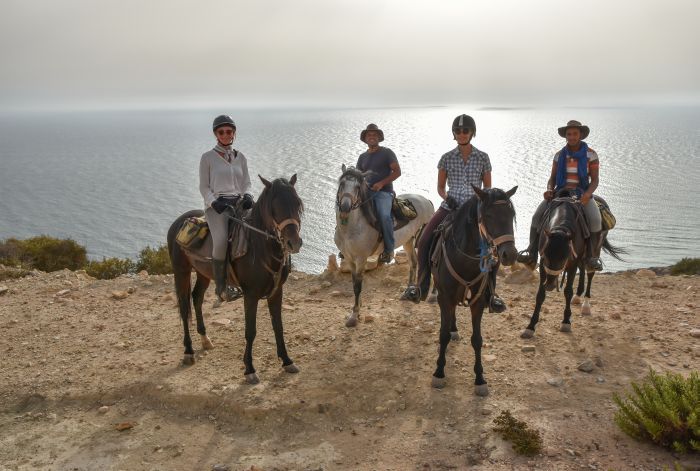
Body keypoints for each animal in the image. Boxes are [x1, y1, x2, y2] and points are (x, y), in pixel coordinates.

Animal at [169, 175, 304, 386]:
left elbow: (278, 326)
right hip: (180, 272)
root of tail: (178, 222)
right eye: (275, 206)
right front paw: (249, 370)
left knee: (197, 298)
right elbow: (251, 331)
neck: (259, 247)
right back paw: (188, 351)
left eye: (297, 203)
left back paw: (205, 339)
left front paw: (287, 360)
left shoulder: (277, 292)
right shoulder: (251, 295)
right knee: (184, 307)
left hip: (203, 273)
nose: (294, 242)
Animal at [332, 166, 432, 328]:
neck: (351, 228)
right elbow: (354, 284)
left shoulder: (361, 259)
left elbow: (358, 286)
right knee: (413, 263)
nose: (345, 207)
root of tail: (427, 201)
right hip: (408, 241)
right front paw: (357, 309)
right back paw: (407, 293)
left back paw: (433, 296)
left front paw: (354, 316)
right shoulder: (349, 258)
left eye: (358, 187)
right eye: (342, 184)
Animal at [426, 186, 520, 396]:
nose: (509, 254)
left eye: (511, 215)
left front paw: (480, 379)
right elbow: (442, 335)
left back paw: (454, 328)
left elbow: (477, 339)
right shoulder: (444, 297)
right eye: (488, 215)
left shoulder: (478, 301)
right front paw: (438, 372)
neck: (465, 259)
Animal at [520, 195, 624, 340]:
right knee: (583, 267)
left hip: (595, 249)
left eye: (564, 257)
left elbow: (568, 291)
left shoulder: (572, 263)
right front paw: (530, 327)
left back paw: (585, 304)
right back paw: (578, 296)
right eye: (546, 255)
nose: (550, 285)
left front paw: (566, 322)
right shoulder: (543, 265)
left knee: (590, 271)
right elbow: (540, 294)